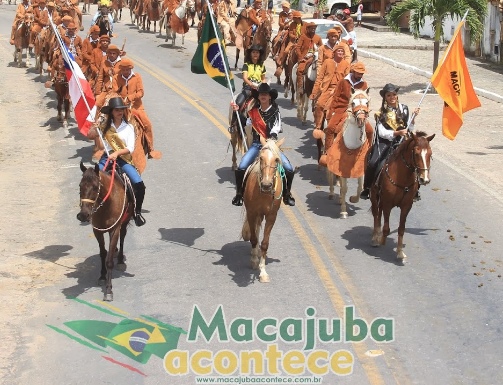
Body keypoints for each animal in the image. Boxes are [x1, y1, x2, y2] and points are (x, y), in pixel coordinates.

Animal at [78, 160, 135, 302]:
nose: (83, 215)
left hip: (124, 222)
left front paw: (108, 290)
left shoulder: (114, 230)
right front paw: (102, 277)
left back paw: (120, 260)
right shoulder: (97, 231)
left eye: (95, 187)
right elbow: (103, 253)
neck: (106, 205)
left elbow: (109, 261)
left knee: (123, 237)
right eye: (80, 186)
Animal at [242, 136, 286, 280]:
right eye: (261, 158)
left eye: (276, 159)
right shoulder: (251, 213)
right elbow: (254, 238)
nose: (266, 185)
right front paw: (254, 261)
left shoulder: (271, 216)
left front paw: (263, 272)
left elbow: (265, 243)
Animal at [326, 88, 374, 218]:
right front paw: (343, 211)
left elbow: (360, 187)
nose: (361, 119)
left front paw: (353, 199)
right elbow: (344, 189)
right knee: (331, 177)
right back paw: (332, 194)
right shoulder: (341, 168)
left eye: (367, 103)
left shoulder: (360, 169)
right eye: (353, 103)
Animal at [370, 130, 438, 260]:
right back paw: (375, 237)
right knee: (376, 214)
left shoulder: (406, 206)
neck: (402, 178)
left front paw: (400, 251)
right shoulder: (387, 204)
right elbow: (386, 228)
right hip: (374, 195)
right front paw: (381, 241)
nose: (425, 179)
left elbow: (401, 229)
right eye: (416, 153)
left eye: (430, 154)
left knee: (378, 214)